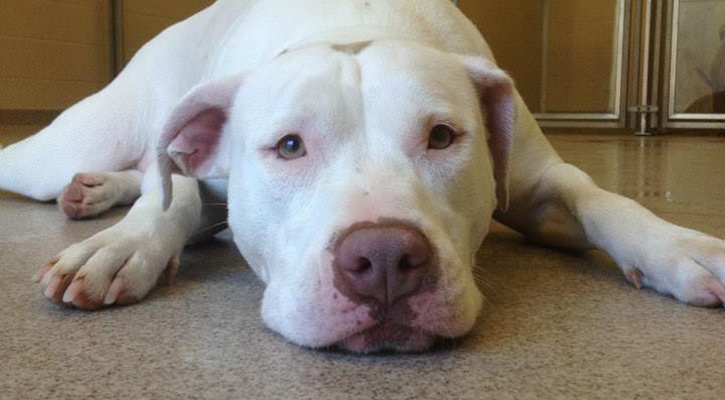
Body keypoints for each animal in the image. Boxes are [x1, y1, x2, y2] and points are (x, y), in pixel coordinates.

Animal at [1, 0, 724, 352]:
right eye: (289, 146)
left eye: (441, 136)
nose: (381, 260)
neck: (352, 27)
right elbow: (170, 201)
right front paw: (122, 246)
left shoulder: (537, 182)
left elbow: (598, 198)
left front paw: (677, 247)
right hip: (76, 139)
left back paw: (99, 187)